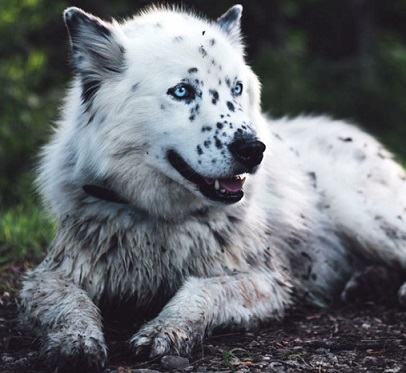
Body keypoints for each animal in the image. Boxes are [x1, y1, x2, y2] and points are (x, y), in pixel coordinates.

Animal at [19, 4, 406, 370]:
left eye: (237, 88)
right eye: (182, 91)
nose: (254, 149)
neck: (158, 221)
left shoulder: (266, 281)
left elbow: (201, 288)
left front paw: (165, 329)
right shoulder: (50, 275)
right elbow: (69, 304)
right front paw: (74, 344)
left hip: (364, 219)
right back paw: (366, 282)